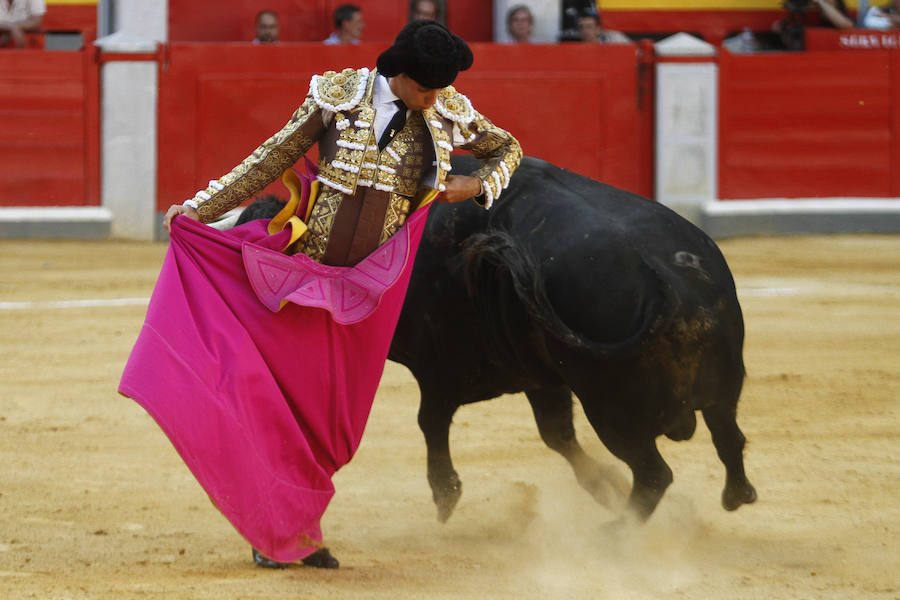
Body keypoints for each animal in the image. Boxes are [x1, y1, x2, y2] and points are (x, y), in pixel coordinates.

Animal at [236, 155, 756, 524]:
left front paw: (445, 494)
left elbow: (432, 422)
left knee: (654, 474)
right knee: (728, 437)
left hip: (613, 410)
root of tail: (671, 283)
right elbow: (557, 435)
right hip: (721, 387)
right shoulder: (540, 375)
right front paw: (603, 486)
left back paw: (614, 532)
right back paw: (736, 495)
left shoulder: (441, 366)